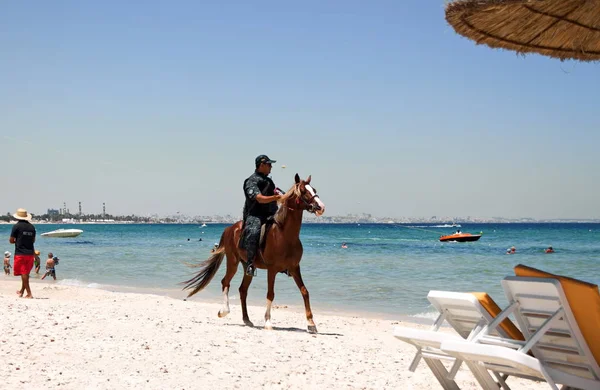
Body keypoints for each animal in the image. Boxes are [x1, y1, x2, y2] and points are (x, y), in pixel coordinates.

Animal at [183, 173, 326, 332]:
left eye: (314, 189)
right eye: (303, 191)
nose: (320, 207)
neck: (284, 235)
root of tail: (229, 228)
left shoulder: (295, 268)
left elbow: (305, 291)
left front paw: (311, 323)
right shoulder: (272, 270)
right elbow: (270, 294)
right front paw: (268, 322)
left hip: (247, 267)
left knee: (242, 290)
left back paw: (247, 319)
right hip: (232, 262)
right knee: (225, 281)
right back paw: (224, 311)